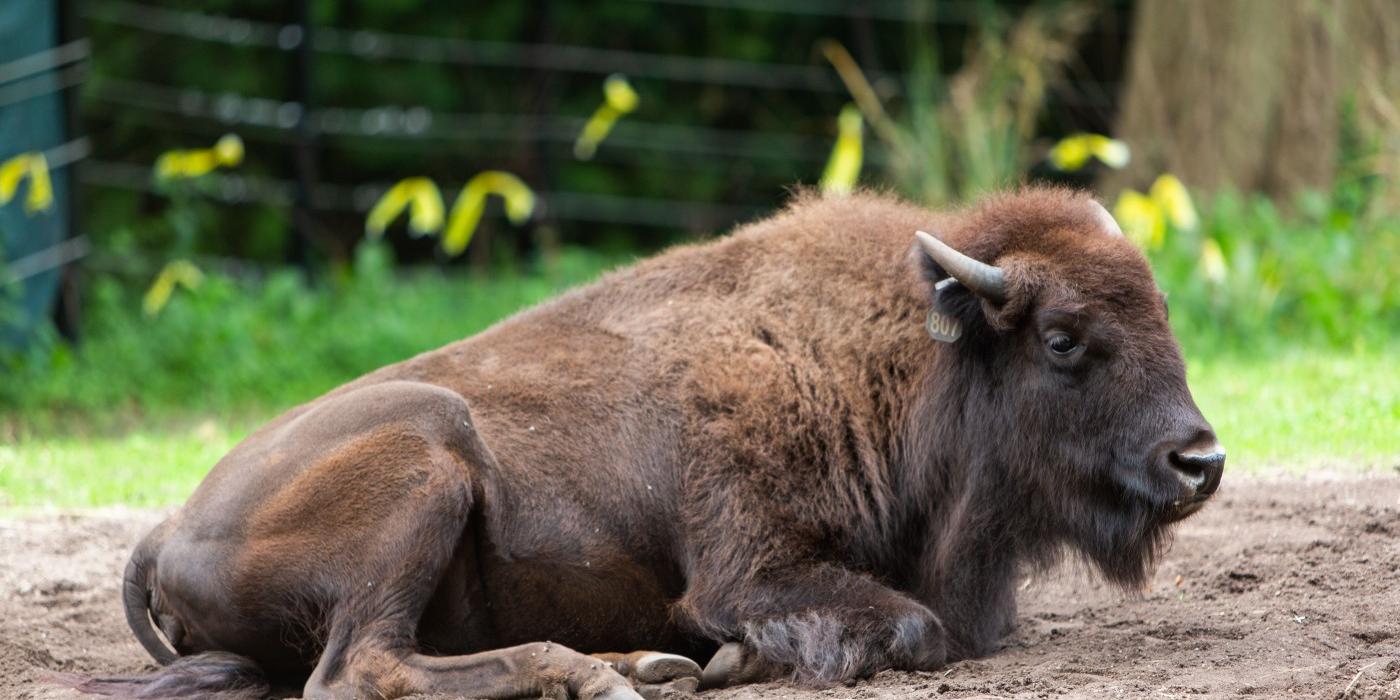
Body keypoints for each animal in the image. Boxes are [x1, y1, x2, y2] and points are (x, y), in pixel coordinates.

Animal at [76, 187, 1220, 700]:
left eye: (1162, 314)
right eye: (1064, 338)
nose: (1198, 461)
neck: (895, 360)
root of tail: (168, 527)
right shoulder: (750, 565)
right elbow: (906, 626)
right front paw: (739, 656)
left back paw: (646, 663)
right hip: (429, 463)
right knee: (361, 667)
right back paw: (610, 673)